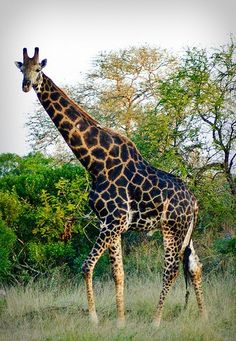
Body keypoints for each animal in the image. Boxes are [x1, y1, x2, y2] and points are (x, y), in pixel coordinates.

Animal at [15, 47, 206, 326]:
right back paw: (204, 316)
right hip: (186, 232)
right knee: (194, 266)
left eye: (38, 68)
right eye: (22, 68)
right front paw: (120, 322)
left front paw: (94, 319)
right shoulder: (109, 223)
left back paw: (156, 321)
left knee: (170, 269)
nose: (27, 85)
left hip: (173, 229)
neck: (95, 163)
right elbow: (118, 274)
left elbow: (87, 266)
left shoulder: (113, 221)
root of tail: (194, 201)